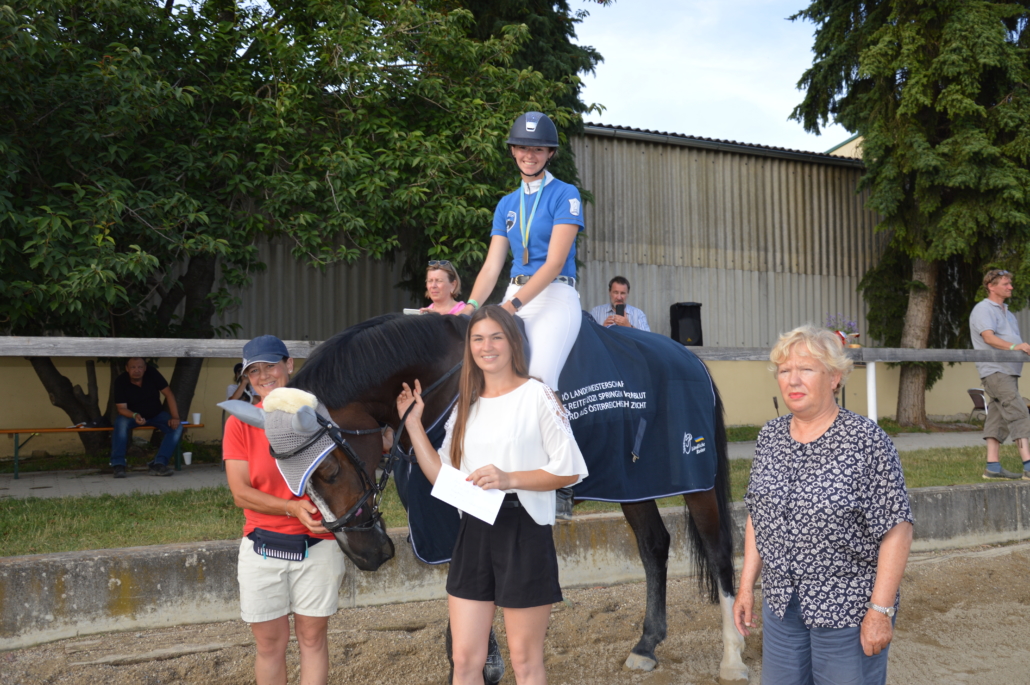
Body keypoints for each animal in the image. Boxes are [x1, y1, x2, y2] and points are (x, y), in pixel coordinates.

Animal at [280, 313, 749, 679]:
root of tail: (690, 357)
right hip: (634, 483)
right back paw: (646, 645)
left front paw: (479, 664)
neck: (441, 384)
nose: (365, 556)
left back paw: (732, 658)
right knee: (654, 545)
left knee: (718, 551)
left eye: (328, 470)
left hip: (696, 483)